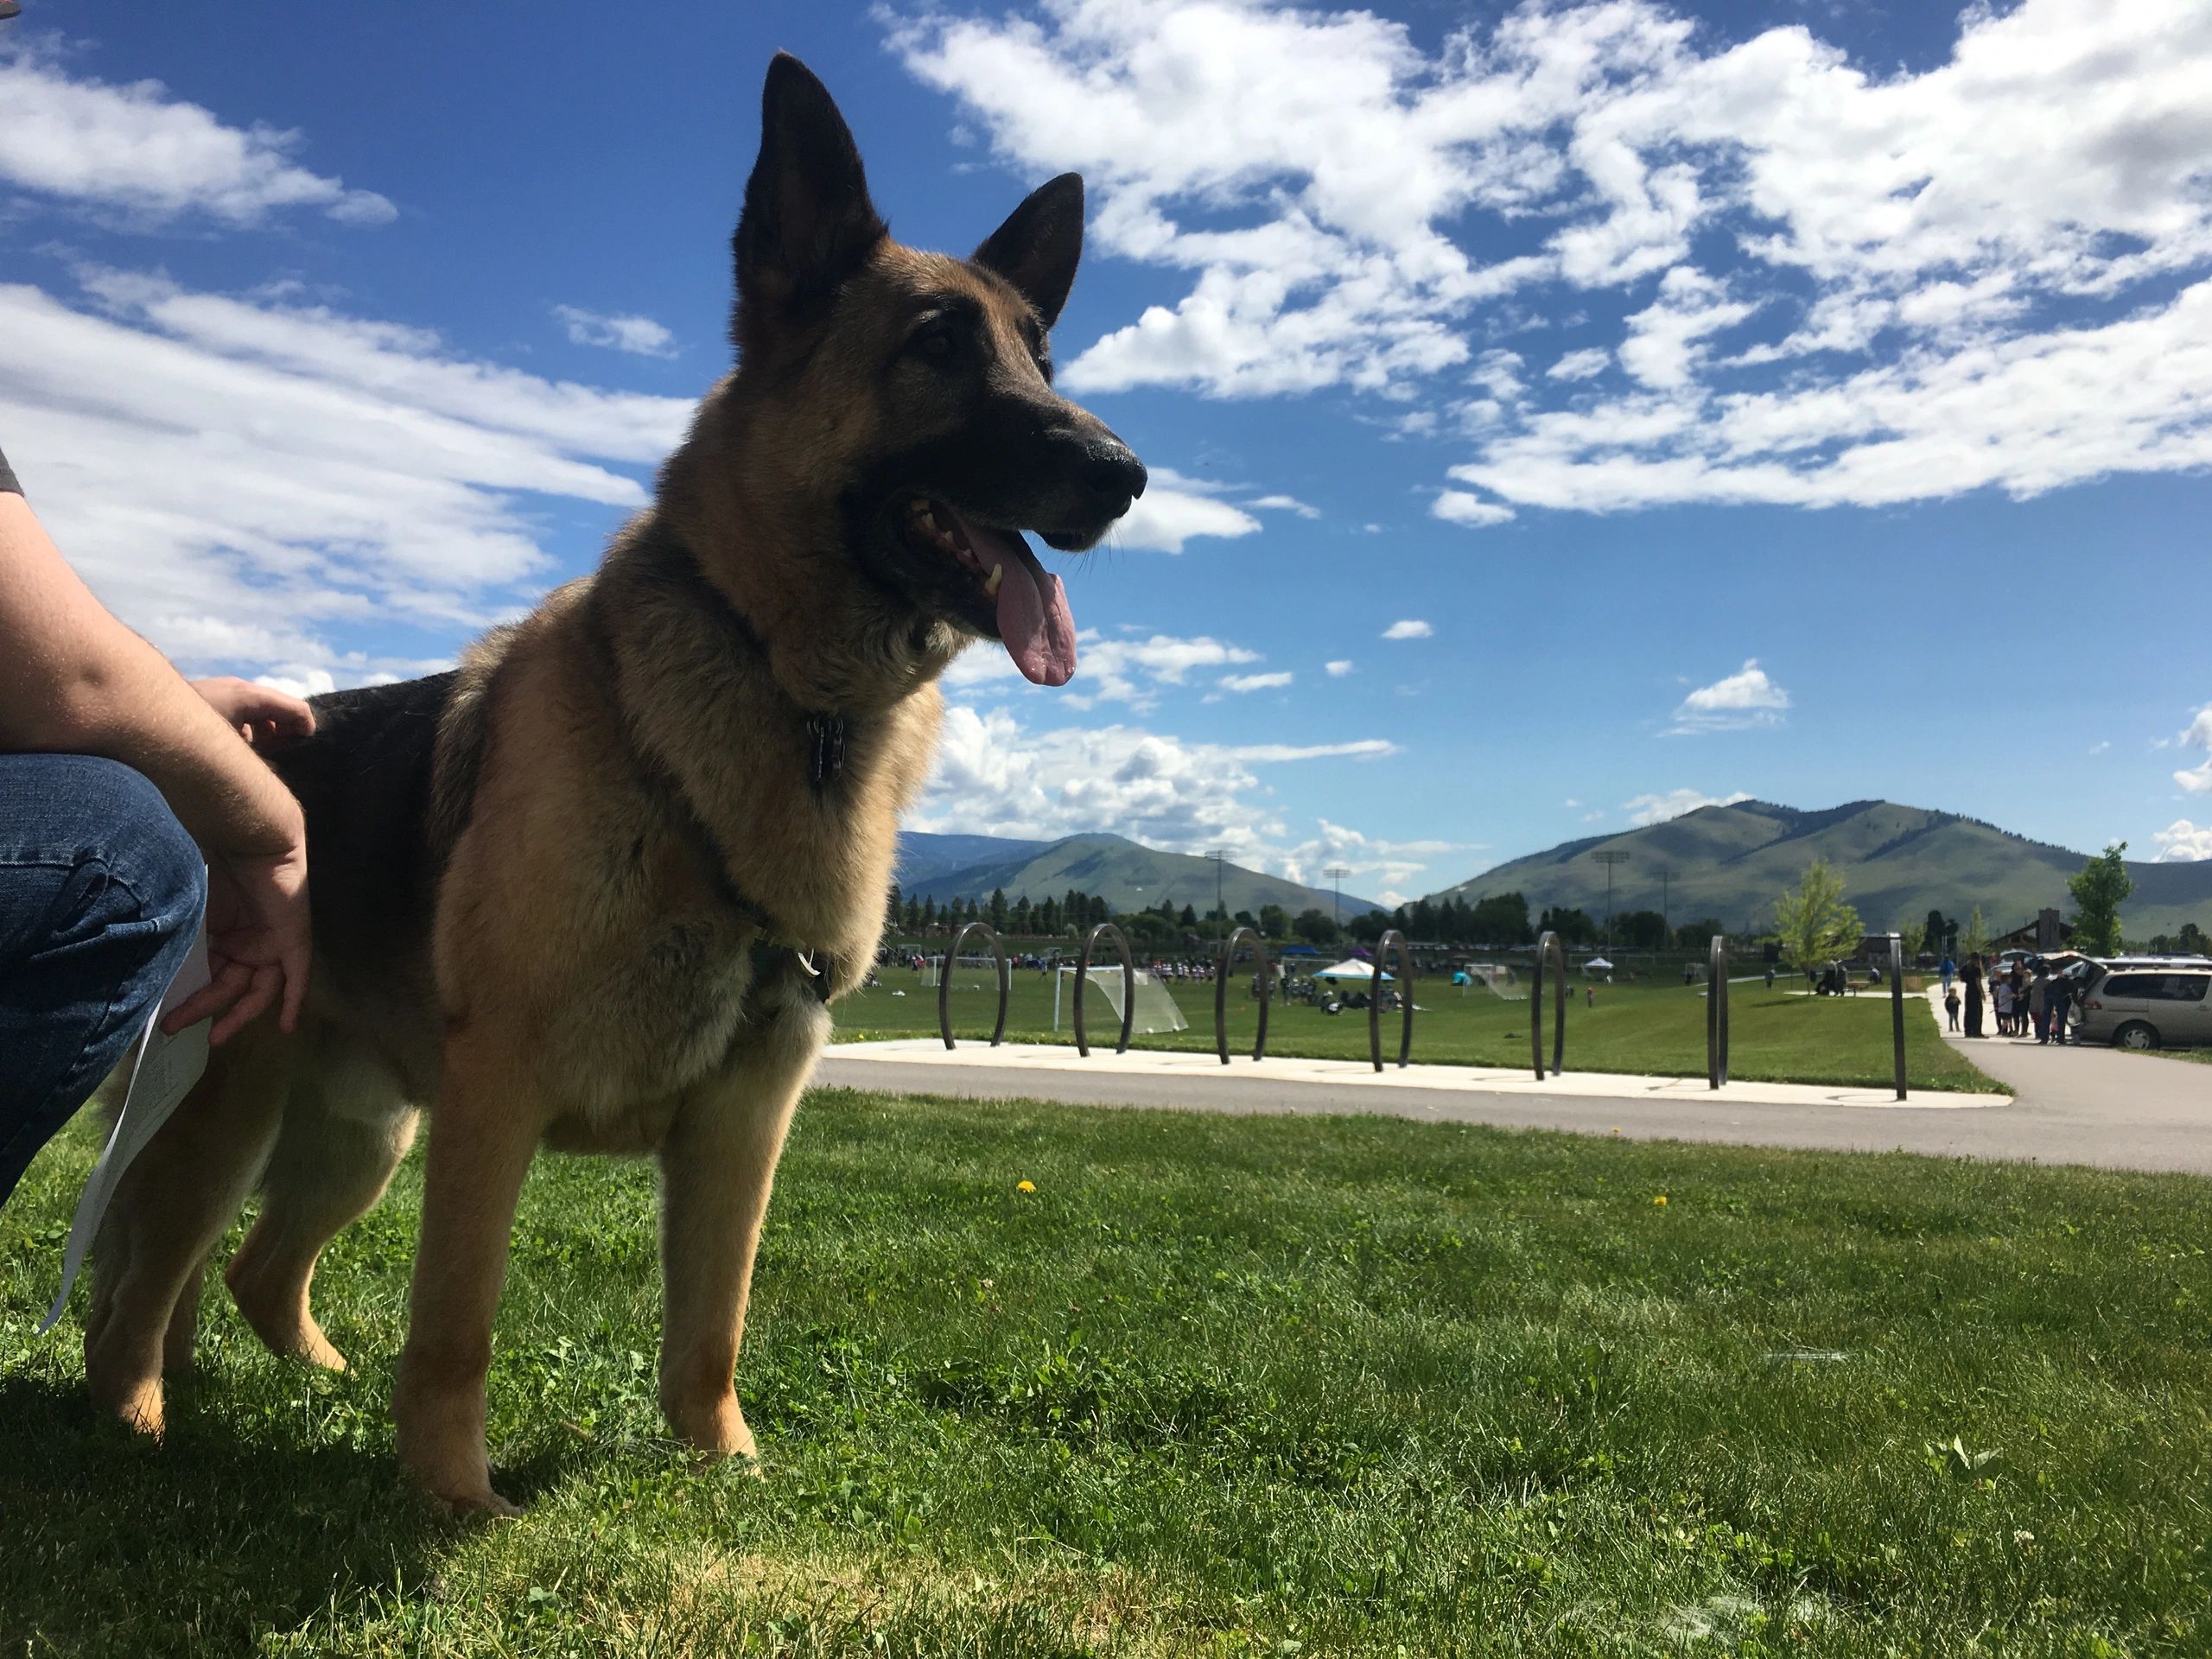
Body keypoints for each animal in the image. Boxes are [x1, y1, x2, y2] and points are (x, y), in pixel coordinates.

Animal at [84, 52, 1141, 1513]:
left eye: (1044, 355)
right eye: (937, 345)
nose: (1126, 476)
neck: (791, 696)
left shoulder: (746, 1117)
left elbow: (713, 1324)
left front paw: (725, 1465)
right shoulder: (496, 1097)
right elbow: (458, 1323)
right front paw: (454, 1501)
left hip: (361, 1139)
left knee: (245, 1269)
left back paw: (298, 1384)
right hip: (234, 1115)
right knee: (147, 1279)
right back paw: (135, 1419)